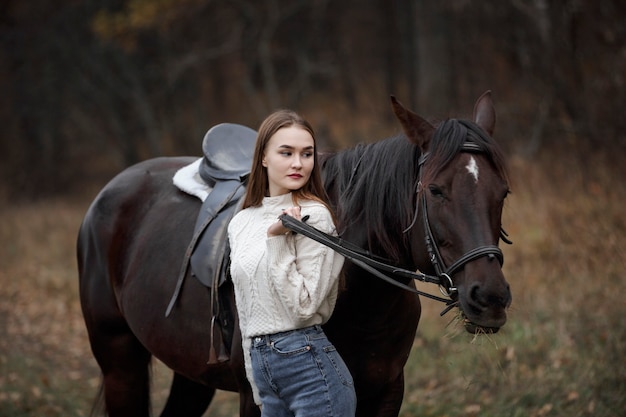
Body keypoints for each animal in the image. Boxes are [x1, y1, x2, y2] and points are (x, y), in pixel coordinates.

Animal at [78, 92, 510, 416]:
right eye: (435, 191)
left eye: (502, 192)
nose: (490, 297)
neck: (361, 300)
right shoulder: (255, 398)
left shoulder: (386, 391)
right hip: (120, 362)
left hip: (190, 371)